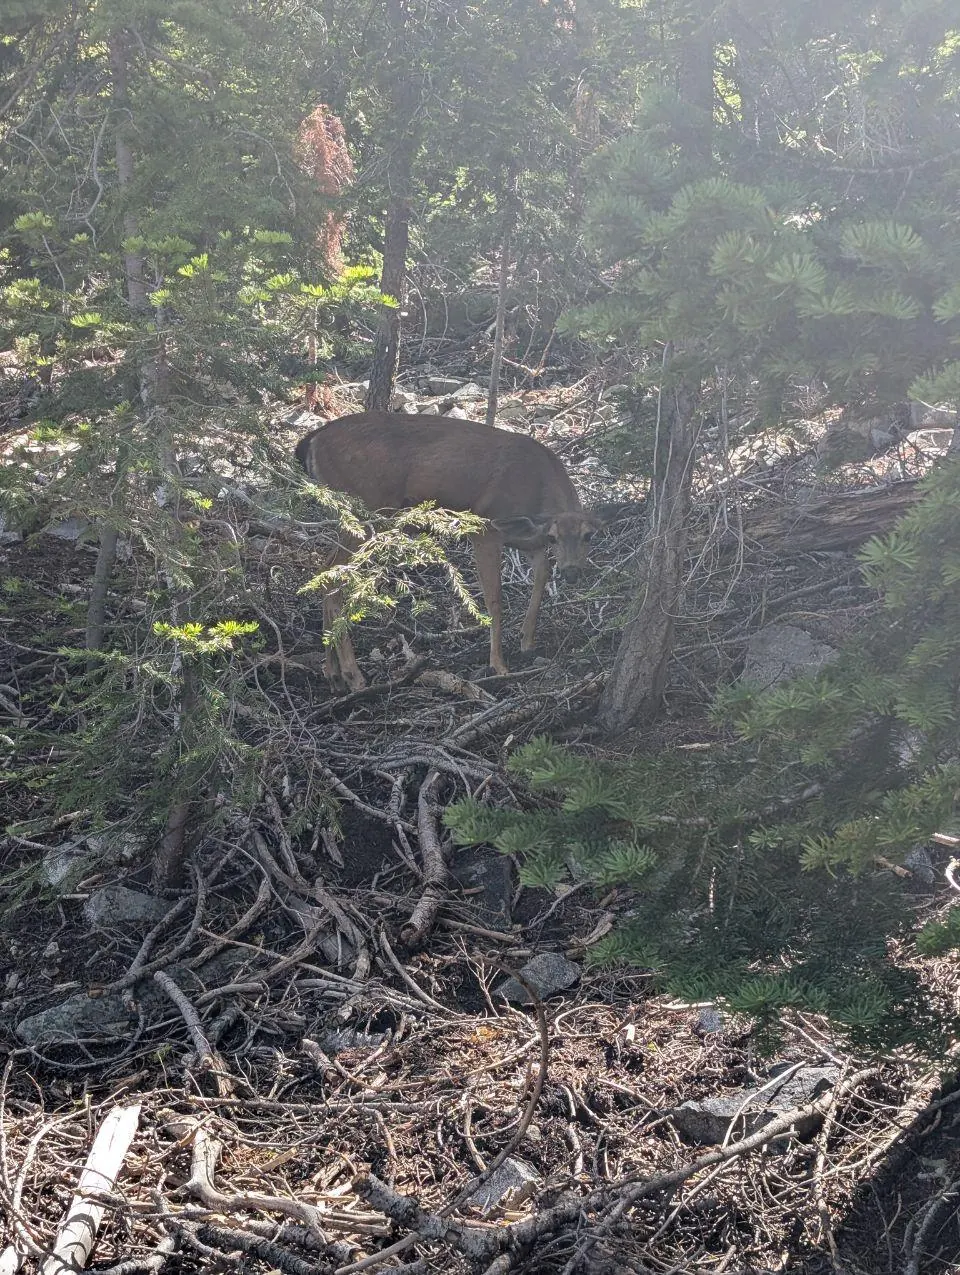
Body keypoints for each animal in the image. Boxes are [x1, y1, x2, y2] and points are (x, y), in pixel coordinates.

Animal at [295, 411, 602, 692]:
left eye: (589, 535)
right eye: (554, 537)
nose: (572, 572)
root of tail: (312, 440)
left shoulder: (526, 540)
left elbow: (542, 574)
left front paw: (527, 640)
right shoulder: (485, 528)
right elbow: (494, 599)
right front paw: (498, 664)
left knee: (324, 571)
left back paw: (333, 673)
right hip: (366, 508)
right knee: (335, 576)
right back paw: (353, 675)